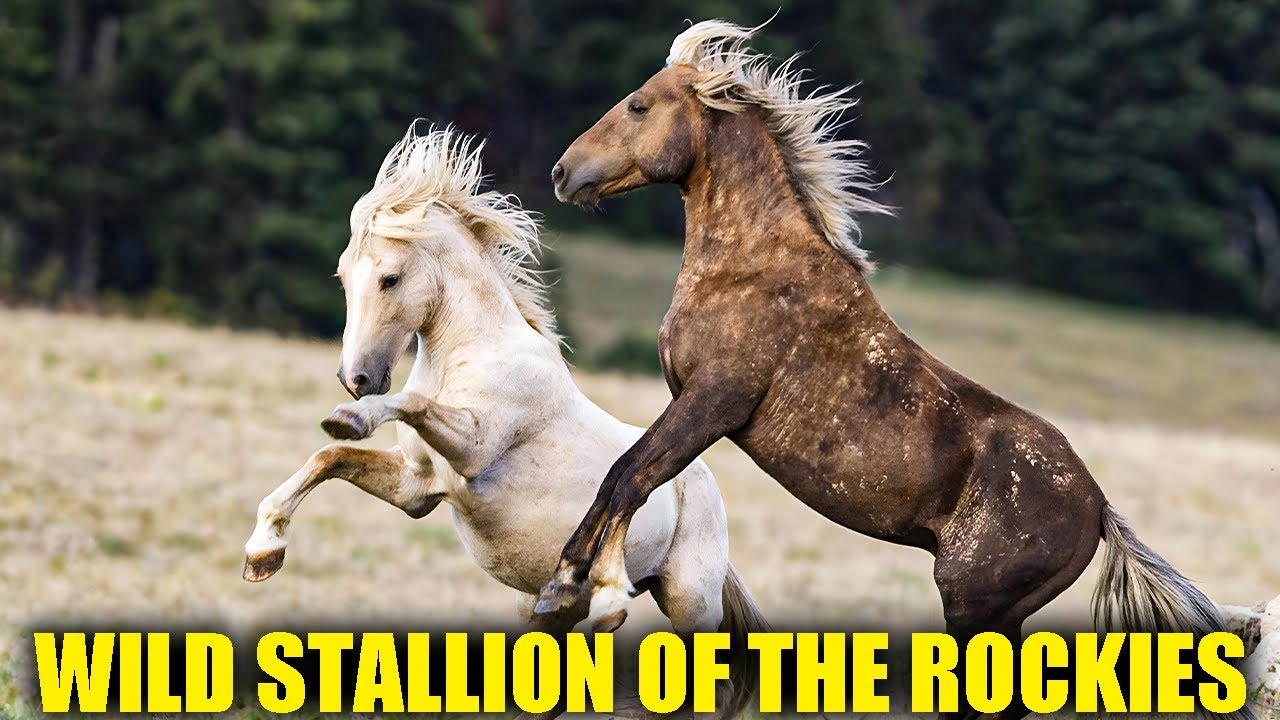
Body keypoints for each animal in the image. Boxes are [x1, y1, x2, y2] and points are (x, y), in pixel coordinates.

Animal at [241, 122, 766, 719]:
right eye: (343, 276)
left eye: (390, 279)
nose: (356, 378)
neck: (471, 352)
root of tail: (700, 484)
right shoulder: (417, 487)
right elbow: (328, 456)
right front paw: (263, 551)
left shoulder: (473, 449)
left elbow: (407, 405)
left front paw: (353, 417)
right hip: (548, 610)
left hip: (689, 602)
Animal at [538, 20, 1240, 720]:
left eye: (639, 105)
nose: (562, 171)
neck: (752, 268)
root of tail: (1097, 508)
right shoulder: (692, 402)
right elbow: (623, 474)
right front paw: (566, 588)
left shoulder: (712, 403)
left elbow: (630, 476)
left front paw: (579, 590)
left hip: (974, 607)